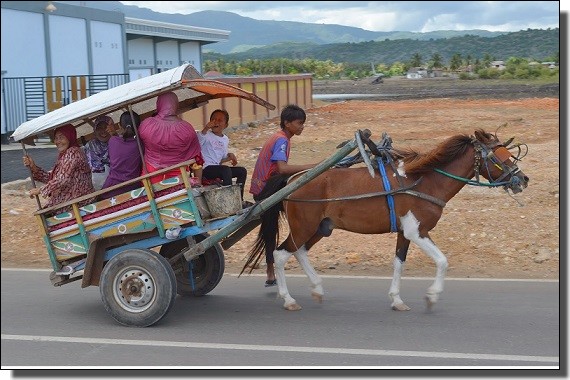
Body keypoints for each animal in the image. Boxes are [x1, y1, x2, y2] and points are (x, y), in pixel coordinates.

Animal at [240, 128, 528, 312]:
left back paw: (317, 288)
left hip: (320, 228)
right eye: (498, 157)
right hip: (304, 226)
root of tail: (294, 179)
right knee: (280, 254)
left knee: (298, 252)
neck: (424, 181)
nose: (522, 179)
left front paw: (397, 300)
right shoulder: (416, 231)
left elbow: (399, 263)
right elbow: (442, 261)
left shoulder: (405, 232)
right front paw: (432, 296)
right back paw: (288, 299)